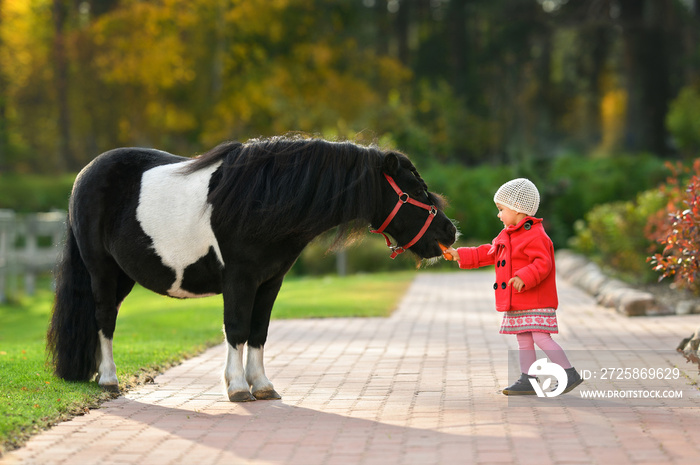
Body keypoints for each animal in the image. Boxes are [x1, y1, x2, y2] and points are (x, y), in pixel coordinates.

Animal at [46, 134, 456, 398]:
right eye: (414, 190)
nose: (450, 232)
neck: (264, 199)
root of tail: (83, 175)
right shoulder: (239, 279)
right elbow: (237, 328)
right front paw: (238, 387)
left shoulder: (270, 281)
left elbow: (259, 331)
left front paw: (262, 385)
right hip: (101, 270)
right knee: (104, 318)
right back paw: (108, 379)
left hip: (123, 276)